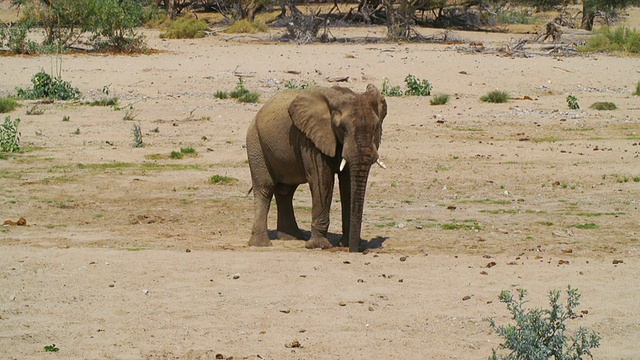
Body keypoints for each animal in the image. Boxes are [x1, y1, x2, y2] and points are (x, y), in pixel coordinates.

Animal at [244, 84, 384, 253]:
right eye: (342, 127)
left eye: (376, 127)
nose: (355, 250)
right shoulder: (311, 139)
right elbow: (322, 180)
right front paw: (319, 246)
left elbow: (347, 185)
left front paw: (347, 243)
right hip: (255, 142)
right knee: (265, 188)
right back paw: (261, 244)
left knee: (285, 191)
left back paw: (291, 237)